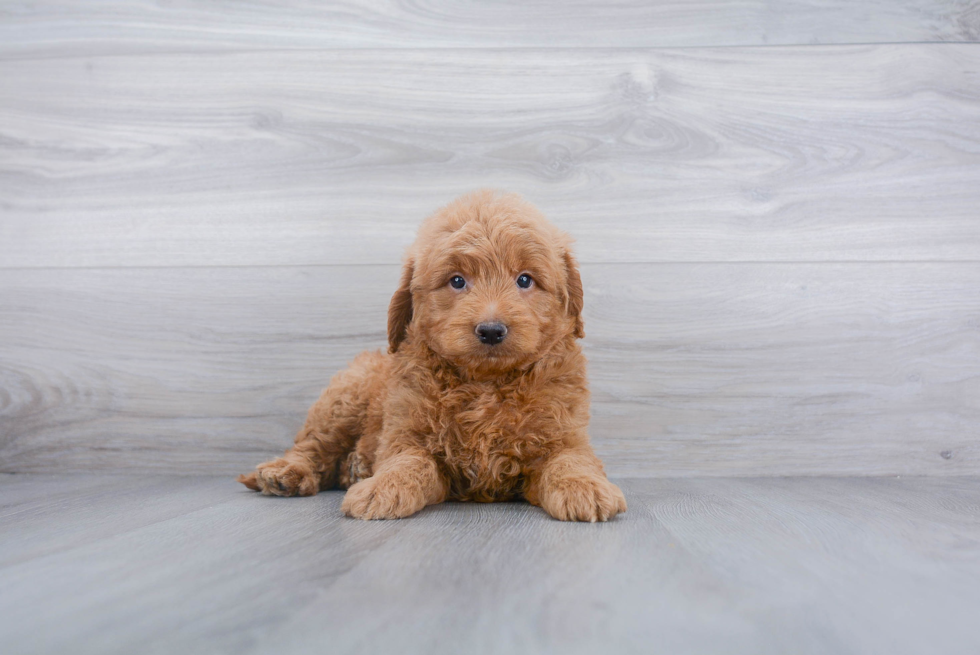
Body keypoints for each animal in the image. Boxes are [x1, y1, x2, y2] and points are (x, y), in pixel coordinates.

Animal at [235, 190, 628, 524]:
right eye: (456, 281)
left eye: (525, 280)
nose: (491, 330)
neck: (486, 384)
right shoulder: (406, 434)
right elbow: (409, 463)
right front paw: (383, 487)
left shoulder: (565, 435)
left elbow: (571, 460)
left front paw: (585, 487)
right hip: (345, 396)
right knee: (313, 445)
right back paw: (288, 473)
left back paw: (351, 467)